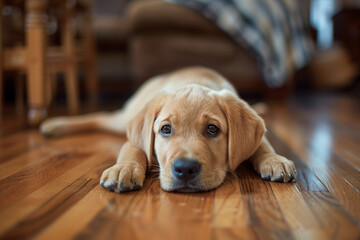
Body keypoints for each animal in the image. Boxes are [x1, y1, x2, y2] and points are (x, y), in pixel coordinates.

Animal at [40, 66, 296, 192]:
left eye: (213, 129)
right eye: (165, 129)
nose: (185, 169)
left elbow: (262, 144)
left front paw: (275, 160)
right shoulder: (136, 137)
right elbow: (133, 149)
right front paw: (123, 169)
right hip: (123, 118)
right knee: (100, 117)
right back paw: (54, 125)